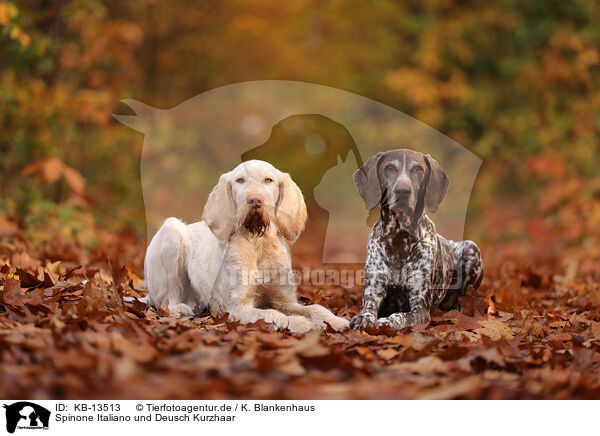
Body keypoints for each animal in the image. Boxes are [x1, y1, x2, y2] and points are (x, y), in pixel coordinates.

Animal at [144, 160, 350, 334]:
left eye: (268, 180)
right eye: (240, 180)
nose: (254, 200)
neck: (259, 243)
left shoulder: (284, 299)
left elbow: (316, 308)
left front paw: (336, 321)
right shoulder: (239, 308)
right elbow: (273, 314)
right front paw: (299, 323)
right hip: (171, 230)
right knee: (167, 299)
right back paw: (179, 307)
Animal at [352, 148, 482, 328]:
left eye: (418, 169)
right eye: (389, 168)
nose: (403, 191)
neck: (398, 238)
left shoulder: (420, 308)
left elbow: (400, 316)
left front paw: (388, 321)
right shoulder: (373, 290)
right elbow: (368, 309)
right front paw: (363, 318)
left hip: (471, 247)